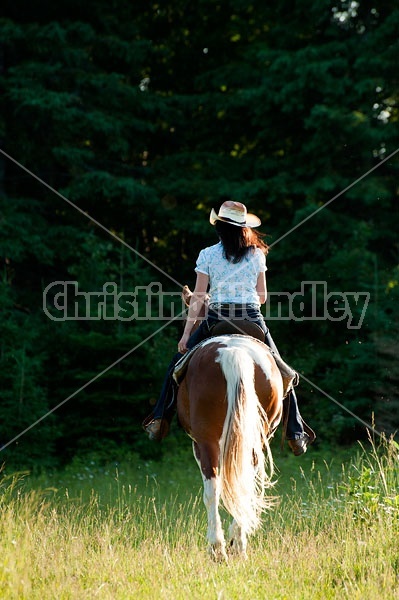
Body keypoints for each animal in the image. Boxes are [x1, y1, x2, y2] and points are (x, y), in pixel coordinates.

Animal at [176, 332, 284, 564]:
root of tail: (234, 353)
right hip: (253, 441)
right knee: (244, 485)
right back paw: (238, 546)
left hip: (206, 441)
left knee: (212, 490)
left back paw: (217, 548)